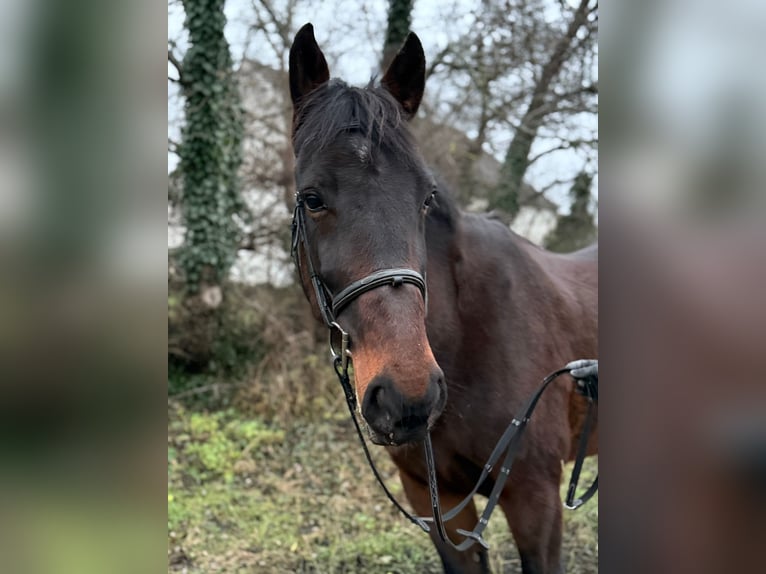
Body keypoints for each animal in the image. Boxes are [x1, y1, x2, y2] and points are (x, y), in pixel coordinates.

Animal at [287, 23, 598, 574]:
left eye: (426, 198)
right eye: (312, 198)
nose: (408, 394)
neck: (469, 339)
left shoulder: (536, 500)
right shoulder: (437, 504)